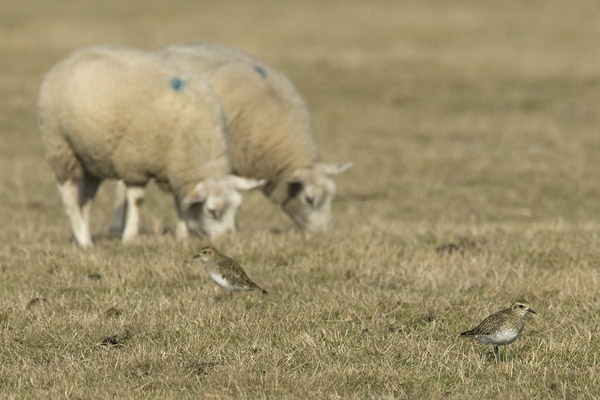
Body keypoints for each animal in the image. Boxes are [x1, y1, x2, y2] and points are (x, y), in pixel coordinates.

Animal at [37, 46, 262, 247]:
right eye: (212, 211)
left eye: (237, 209)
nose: (227, 239)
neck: (197, 141)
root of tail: (70, 57)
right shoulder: (134, 162)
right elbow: (137, 200)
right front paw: (129, 238)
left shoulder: (176, 165)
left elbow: (180, 202)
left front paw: (182, 236)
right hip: (62, 148)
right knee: (69, 196)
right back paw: (85, 242)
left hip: (91, 160)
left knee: (84, 199)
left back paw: (81, 235)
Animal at [108, 43, 352, 234]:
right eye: (310, 199)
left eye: (331, 197)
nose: (324, 232)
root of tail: (159, 51)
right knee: (122, 185)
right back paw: (116, 227)